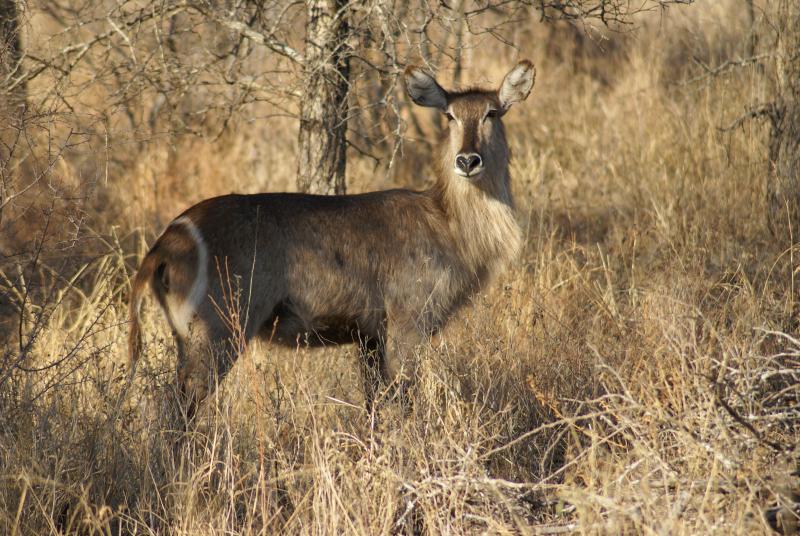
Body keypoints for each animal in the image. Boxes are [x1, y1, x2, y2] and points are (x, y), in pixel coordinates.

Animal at [128, 60, 536, 416]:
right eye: (449, 115)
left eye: (492, 113)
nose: (467, 160)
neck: (448, 224)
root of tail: (168, 240)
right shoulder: (408, 321)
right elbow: (403, 402)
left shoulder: (370, 335)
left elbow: (376, 404)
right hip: (219, 329)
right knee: (179, 405)